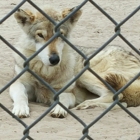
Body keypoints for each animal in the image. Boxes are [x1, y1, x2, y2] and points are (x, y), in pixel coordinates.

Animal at [9, 5, 140, 118]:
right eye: (40, 35)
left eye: (60, 34)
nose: (55, 59)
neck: (46, 74)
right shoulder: (17, 83)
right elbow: (21, 95)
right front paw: (20, 109)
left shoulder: (68, 92)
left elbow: (63, 99)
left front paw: (59, 109)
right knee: (122, 102)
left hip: (85, 73)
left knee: (115, 95)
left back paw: (85, 104)